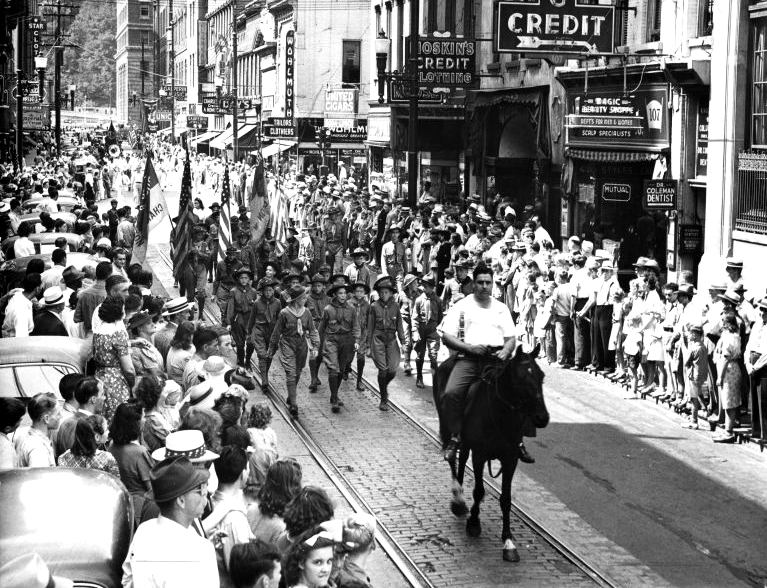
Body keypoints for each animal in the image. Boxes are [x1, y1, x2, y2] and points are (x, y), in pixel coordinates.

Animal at [436, 344, 548, 560]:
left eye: (542, 376)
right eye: (520, 379)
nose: (542, 418)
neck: (500, 415)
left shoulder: (510, 459)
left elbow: (506, 499)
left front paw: (508, 541)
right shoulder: (480, 455)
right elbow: (479, 490)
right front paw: (473, 523)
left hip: (467, 442)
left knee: (462, 458)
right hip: (446, 426)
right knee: (452, 458)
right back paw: (458, 500)